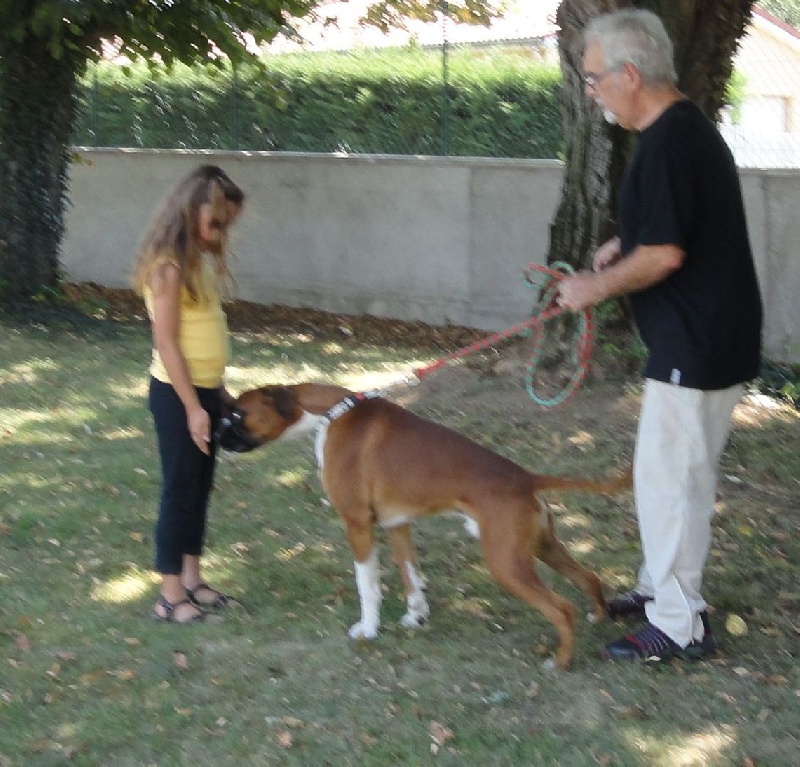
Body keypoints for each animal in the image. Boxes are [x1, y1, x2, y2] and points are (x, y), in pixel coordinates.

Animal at [216, 382, 628, 664]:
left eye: (237, 415)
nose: (218, 437)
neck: (331, 413)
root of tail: (526, 478)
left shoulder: (358, 524)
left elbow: (368, 585)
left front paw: (368, 629)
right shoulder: (398, 525)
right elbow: (410, 574)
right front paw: (416, 616)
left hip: (505, 562)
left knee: (561, 608)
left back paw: (559, 662)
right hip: (541, 547)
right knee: (589, 577)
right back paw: (598, 615)